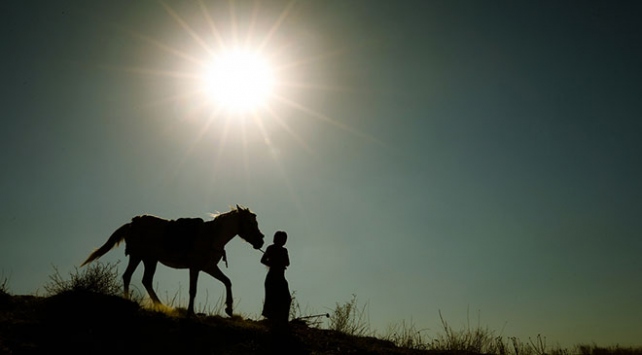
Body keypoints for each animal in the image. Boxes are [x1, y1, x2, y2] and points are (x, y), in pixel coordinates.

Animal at [80, 206, 264, 318]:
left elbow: (227, 281)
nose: (261, 241)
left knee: (139, 279)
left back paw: (158, 305)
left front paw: (229, 309)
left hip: (147, 259)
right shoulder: (195, 268)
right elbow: (193, 290)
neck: (212, 236)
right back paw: (150, 304)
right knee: (134, 278)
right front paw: (191, 313)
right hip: (140, 256)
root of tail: (133, 223)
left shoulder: (209, 267)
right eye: (250, 222)